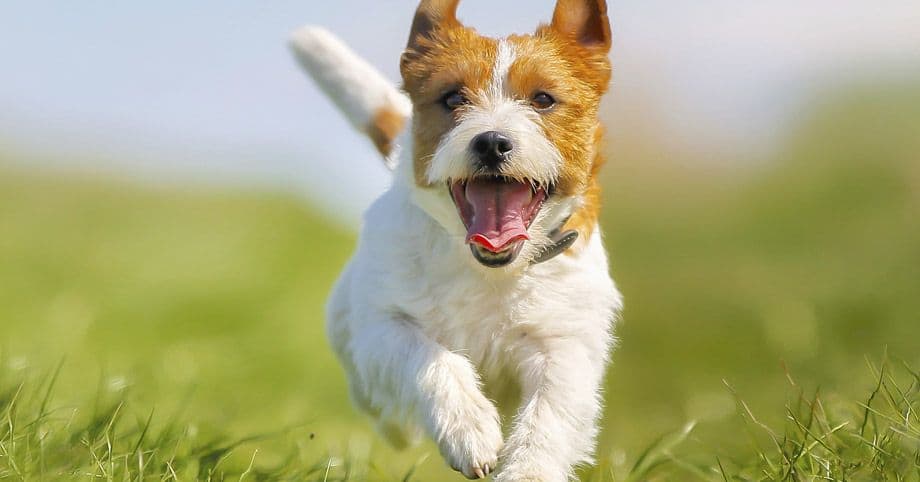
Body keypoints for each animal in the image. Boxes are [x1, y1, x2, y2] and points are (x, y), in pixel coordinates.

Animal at [292, 1, 620, 480]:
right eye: (452, 98)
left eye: (542, 99)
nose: (492, 142)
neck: (489, 270)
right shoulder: (384, 326)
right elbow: (430, 359)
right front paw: (468, 428)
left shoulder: (564, 343)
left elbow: (549, 414)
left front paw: (527, 470)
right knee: (375, 400)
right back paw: (398, 425)